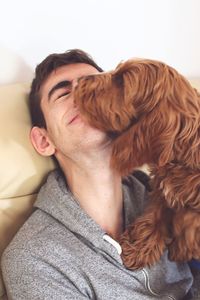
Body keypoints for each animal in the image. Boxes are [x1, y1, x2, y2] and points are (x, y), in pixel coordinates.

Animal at [73, 58, 200, 270]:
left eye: (121, 81)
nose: (77, 80)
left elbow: (189, 220)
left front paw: (182, 245)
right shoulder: (161, 191)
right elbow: (153, 216)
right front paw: (137, 249)